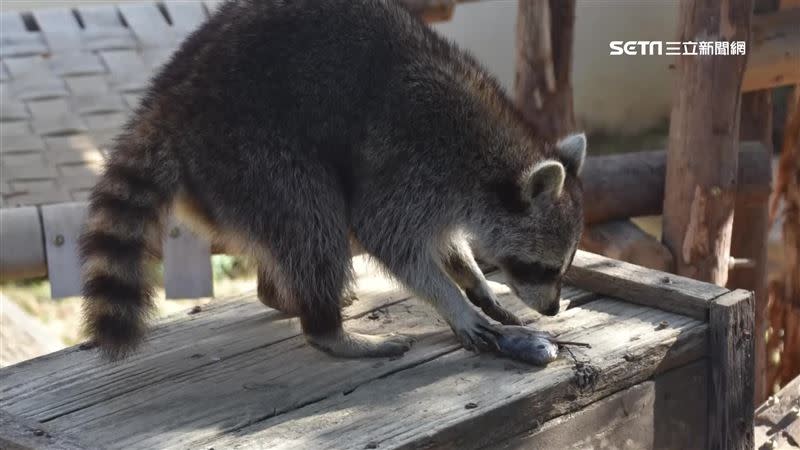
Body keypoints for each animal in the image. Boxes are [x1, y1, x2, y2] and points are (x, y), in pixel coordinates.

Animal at [78, 0, 584, 360]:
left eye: (563, 267)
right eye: (543, 268)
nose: (552, 308)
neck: (491, 157)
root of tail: (166, 103)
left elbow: (445, 244)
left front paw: (476, 283)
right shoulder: (414, 158)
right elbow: (390, 237)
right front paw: (453, 301)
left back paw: (285, 297)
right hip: (248, 147)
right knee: (312, 217)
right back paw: (327, 330)